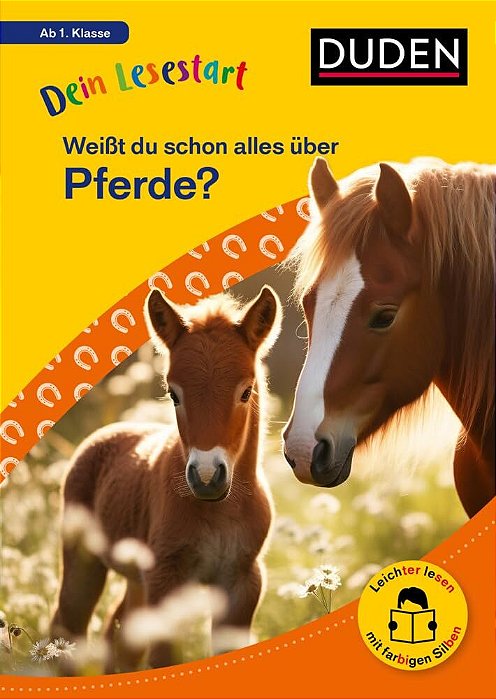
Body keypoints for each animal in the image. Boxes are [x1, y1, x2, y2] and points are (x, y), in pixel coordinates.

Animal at [51, 285, 281, 670]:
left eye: (245, 391)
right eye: (174, 393)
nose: (207, 476)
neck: (219, 511)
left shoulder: (242, 581)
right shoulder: (165, 579)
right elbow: (163, 659)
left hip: (136, 580)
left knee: (118, 636)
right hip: (85, 563)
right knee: (67, 627)